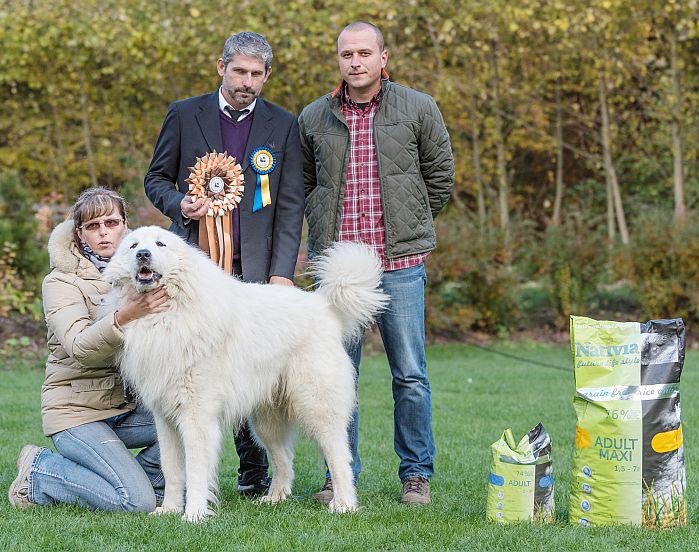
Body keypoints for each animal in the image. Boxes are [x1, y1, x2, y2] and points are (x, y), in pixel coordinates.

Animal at [102, 225, 388, 520]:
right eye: (134, 245)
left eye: (160, 245)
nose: (143, 255)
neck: (169, 313)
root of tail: (324, 305)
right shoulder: (165, 419)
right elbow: (171, 469)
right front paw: (169, 510)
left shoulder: (196, 417)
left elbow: (195, 470)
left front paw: (193, 514)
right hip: (266, 420)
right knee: (284, 459)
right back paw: (275, 498)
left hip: (317, 406)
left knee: (339, 456)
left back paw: (344, 504)